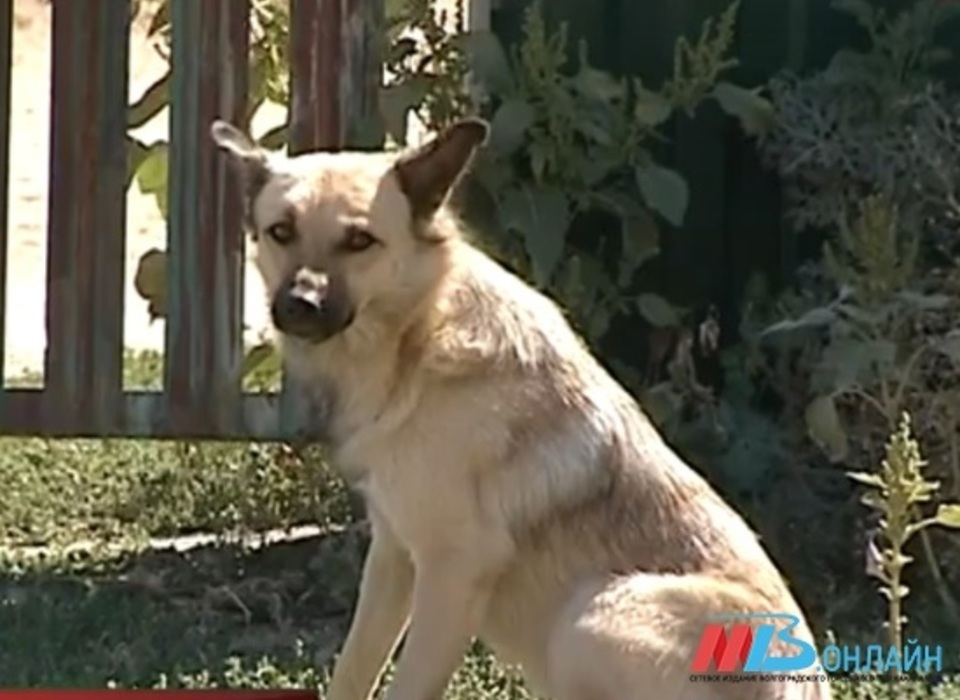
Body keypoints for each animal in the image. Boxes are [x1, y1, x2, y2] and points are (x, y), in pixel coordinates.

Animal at [212, 116, 832, 700]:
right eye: (281, 232)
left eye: (360, 241)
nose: (300, 304)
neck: (417, 337)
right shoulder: (392, 558)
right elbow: (352, 672)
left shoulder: (452, 573)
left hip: (588, 618)